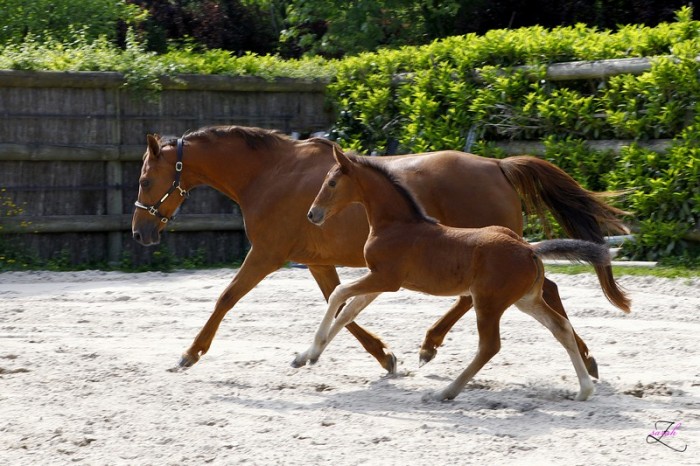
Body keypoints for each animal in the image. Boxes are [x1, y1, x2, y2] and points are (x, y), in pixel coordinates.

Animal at [292, 146, 632, 400]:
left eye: (332, 183)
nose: (312, 214)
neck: (397, 225)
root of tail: (529, 250)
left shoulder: (386, 279)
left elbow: (338, 295)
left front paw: (312, 350)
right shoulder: (380, 281)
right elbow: (348, 311)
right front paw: (307, 356)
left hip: (489, 302)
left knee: (490, 346)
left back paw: (445, 391)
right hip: (525, 300)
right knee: (559, 327)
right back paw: (584, 389)